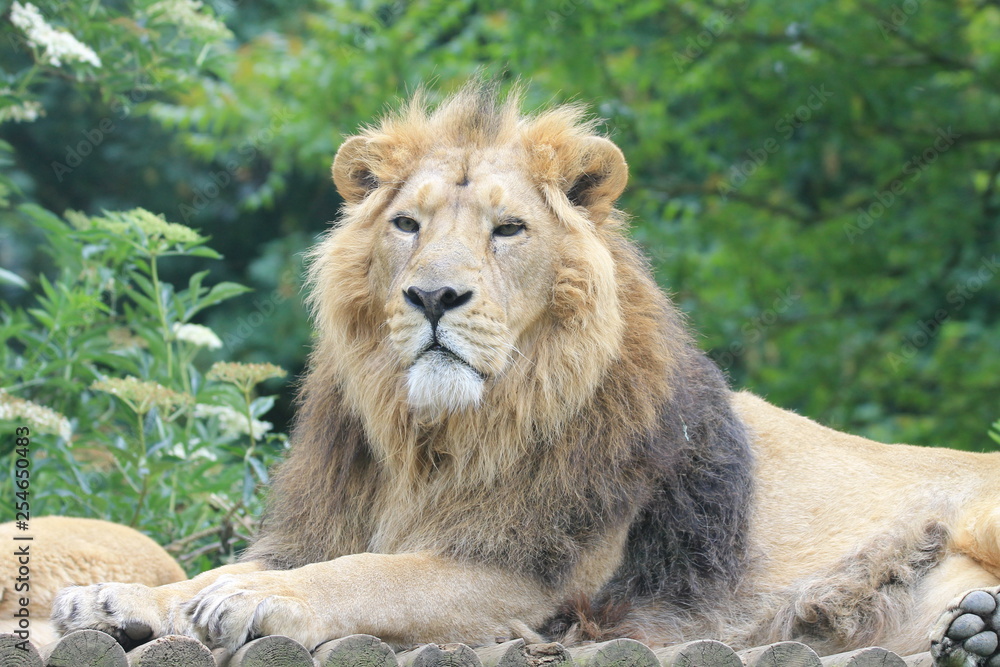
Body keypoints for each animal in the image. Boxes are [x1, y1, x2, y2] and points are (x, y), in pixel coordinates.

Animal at [50, 82, 1000, 665]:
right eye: (406, 224)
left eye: (508, 229)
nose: (435, 295)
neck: (435, 438)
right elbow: (206, 573)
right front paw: (113, 599)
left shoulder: (528, 578)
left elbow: (364, 573)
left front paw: (253, 596)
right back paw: (970, 628)